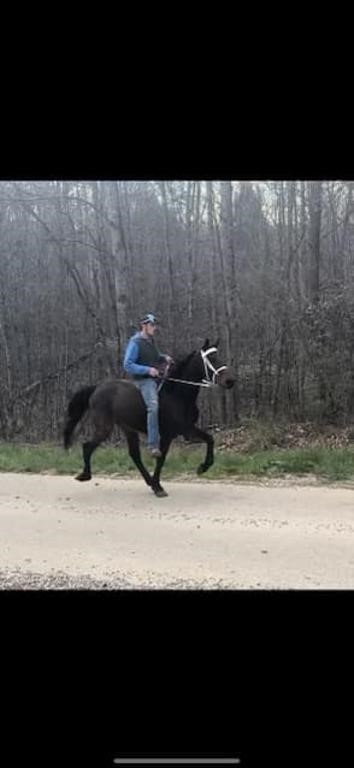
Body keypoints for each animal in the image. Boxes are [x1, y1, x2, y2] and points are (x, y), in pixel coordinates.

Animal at [63, 338, 235, 496]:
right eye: (212, 358)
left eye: (219, 355)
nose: (230, 381)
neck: (176, 394)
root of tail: (97, 388)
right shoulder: (169, 434)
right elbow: (161, 458)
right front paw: (159, 487)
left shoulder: (187, 431)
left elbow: (210, 439)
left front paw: (202, 468)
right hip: (104, 428)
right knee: (87, 446)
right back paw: (85, 475)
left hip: (128, 429)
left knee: (134, 455)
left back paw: (149, 481)